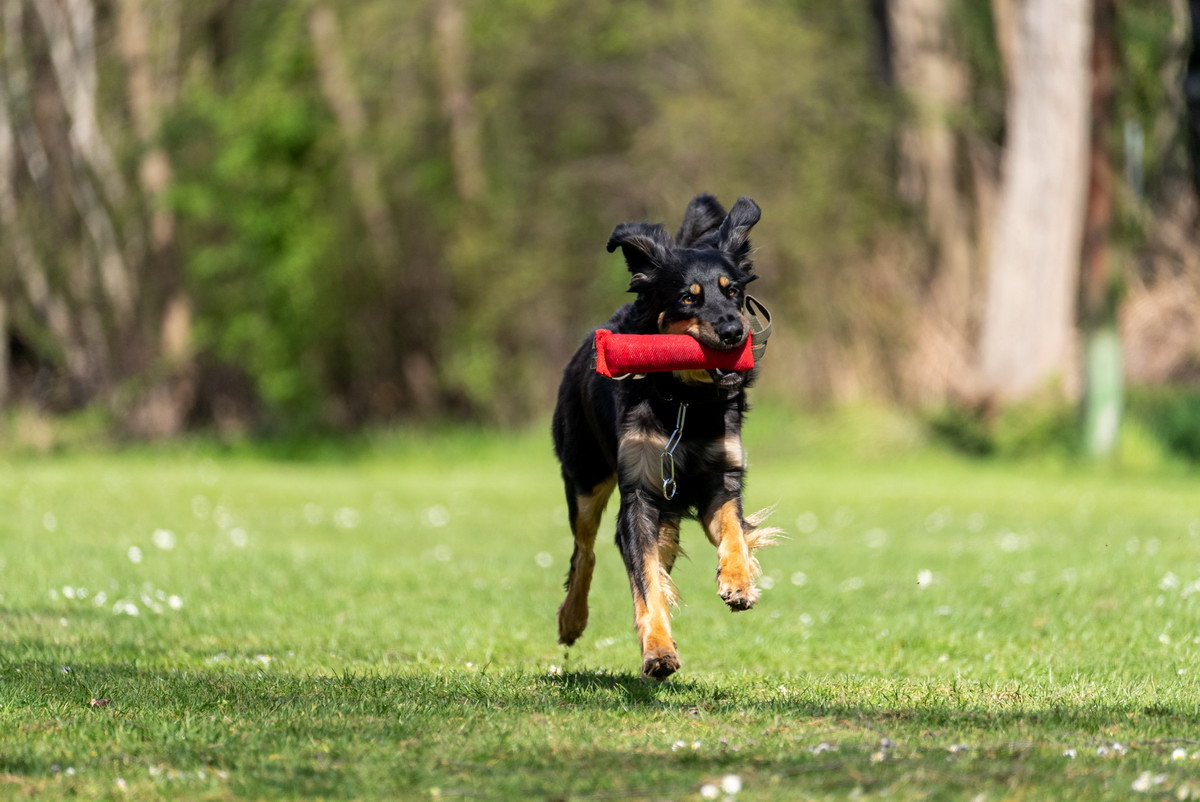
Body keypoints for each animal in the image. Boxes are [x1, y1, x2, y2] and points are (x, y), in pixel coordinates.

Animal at [551, 193, 778, 680]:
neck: (685, 401)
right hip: (584, 477)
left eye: (733, 291)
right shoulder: (639, 495)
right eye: (688, 298)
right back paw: (572, 619)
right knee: (585, 553)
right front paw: (657, 650)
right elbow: (645, 581)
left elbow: (733, 532)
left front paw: (738, 582)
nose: (734, 332)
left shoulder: (720, 477)